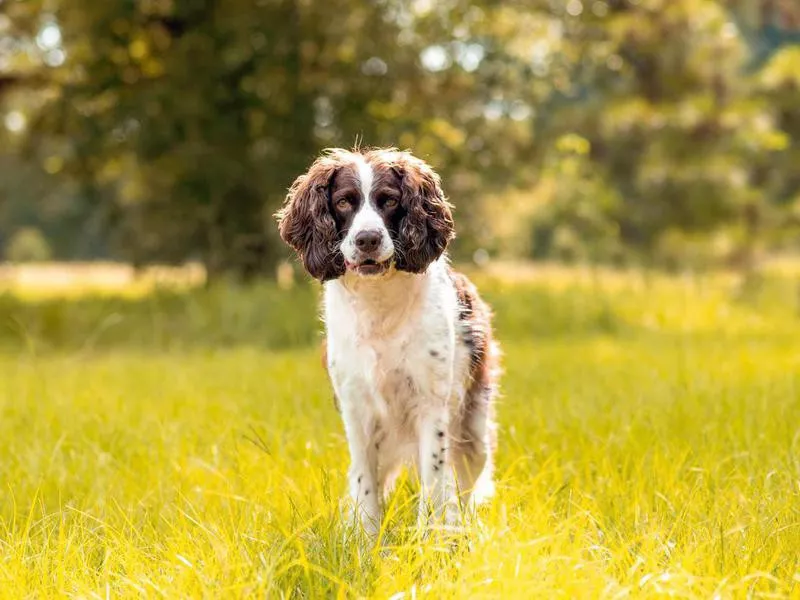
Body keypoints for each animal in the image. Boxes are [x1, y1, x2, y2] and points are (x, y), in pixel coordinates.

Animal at [278, 149, 496, 536]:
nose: (367, 239)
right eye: (344, 202)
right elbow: (365, 483)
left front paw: (428, 538)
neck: (379, 306)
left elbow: (434, 482)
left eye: (390, 201)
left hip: (474, 430)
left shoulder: (431, 405)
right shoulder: (356, 406)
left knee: (465, 485)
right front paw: (365, 539)